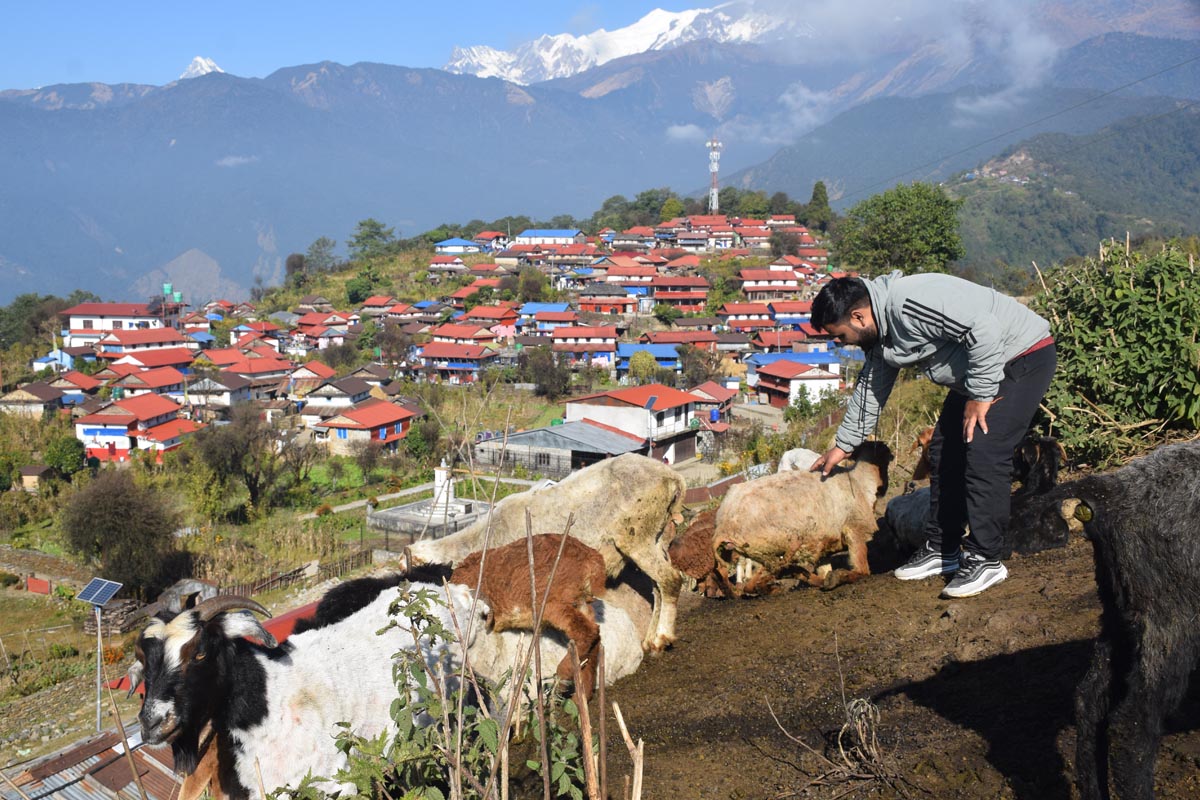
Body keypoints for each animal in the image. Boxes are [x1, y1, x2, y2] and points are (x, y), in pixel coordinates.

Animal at [130, 582, 482, 800]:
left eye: (200, 652)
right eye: (143, 661)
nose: (152, 724)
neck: (268, 701)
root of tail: (456, 593)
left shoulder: (334, 783)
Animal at [408, 455, 686, 652]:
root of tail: (672, 477)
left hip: (637, 535)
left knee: (670, 580)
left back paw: (661, 637)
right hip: (658, 535)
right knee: (658, 588)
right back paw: (650, 639)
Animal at [453, 537, 614, 700]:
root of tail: (592, 557)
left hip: (552, 604)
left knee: (586, 632)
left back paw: (561, 680)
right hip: (581, 603)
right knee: (594, 636)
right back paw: (581, 696)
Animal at [710, 441, 892, 592]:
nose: (884, 489)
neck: (859, 482)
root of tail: (723, 526)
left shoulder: (824, 545)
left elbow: (825, 570)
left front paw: (827, 578)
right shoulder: (855, 531)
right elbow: (863, 571)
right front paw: (839, 577)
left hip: (765, 553)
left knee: (755, 583)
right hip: (782, 546)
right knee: (757, 581)